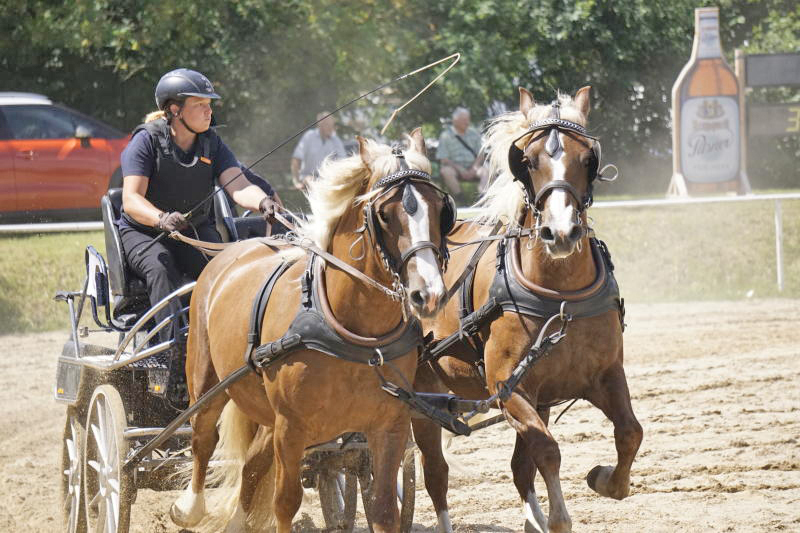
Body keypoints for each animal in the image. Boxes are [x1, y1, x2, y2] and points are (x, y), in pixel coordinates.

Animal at [167, 130, 456, 532]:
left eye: (441, 209)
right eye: (384, 214)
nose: (427, 294)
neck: (355, 335)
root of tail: (234, 250)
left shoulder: (390, 426)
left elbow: (384, 507)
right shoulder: (292, 428)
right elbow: (285, 502)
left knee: (252, 465)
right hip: (207, 381)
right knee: (202, 437)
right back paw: (190, 507)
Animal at [412, 87, 644, 532]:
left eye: (587, 158)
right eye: (529, 160)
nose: (561, 232)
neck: (560, 294)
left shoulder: (602, 376)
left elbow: (629, 433)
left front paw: (606, 480)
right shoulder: (509, 388)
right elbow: (547, 450)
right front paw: (557, 517)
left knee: (519, 467)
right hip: (419, 398)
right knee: (434, 474)